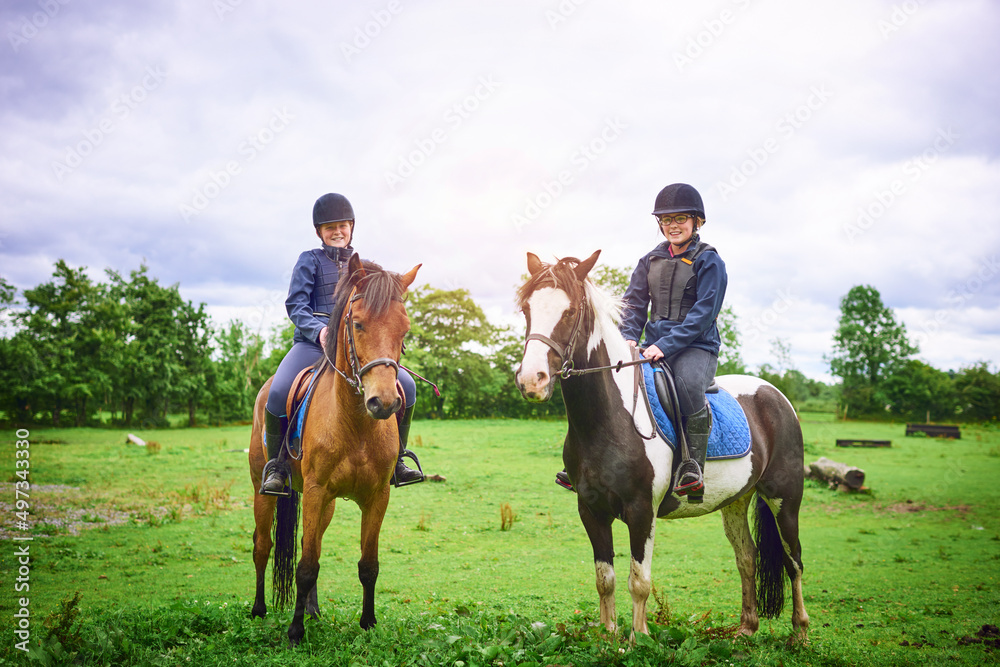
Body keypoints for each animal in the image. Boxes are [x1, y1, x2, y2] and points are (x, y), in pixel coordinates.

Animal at [252, 254, 424, 648]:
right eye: (357, 323)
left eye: (404, 329)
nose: (384, 402)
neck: (356, 423)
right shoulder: (316, 492)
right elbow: (306, 566)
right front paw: (295, 633)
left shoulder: (376, 497)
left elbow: (367, 564)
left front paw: (368, 623)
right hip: (262, 489)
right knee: (262, 545)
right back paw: (258, 610)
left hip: (327, 504)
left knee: (308, 542)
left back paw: (312, 610)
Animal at [512, 250, 808, 640]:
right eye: (526, 309)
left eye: (571, 311)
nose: (532, 380)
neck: (609, 417)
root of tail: (775, 394)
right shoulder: (590, 509)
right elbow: (604, 578)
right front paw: (608, 635)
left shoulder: (642, 510)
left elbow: (639, 580)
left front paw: (639, 639)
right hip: (736, 500)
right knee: (747, 556)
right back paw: (746, 628)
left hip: (784, 498)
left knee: (794, 561)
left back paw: (800, 635)